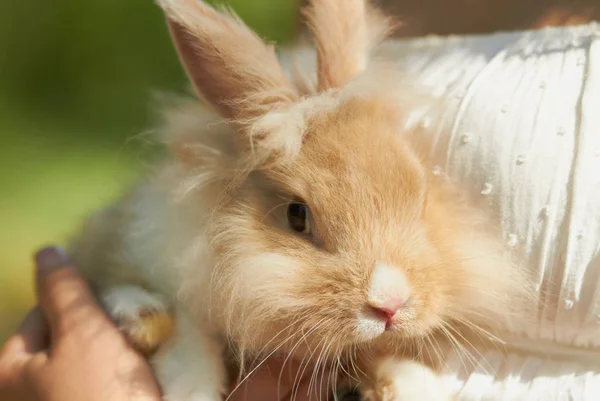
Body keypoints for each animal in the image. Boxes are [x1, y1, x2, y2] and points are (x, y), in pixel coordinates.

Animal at [67, 0, 536, 400]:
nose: (390, 304)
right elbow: (188, 337)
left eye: (418, 194)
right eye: (297, 215)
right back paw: (142, 316)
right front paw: (192, 390)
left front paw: (416, 384)